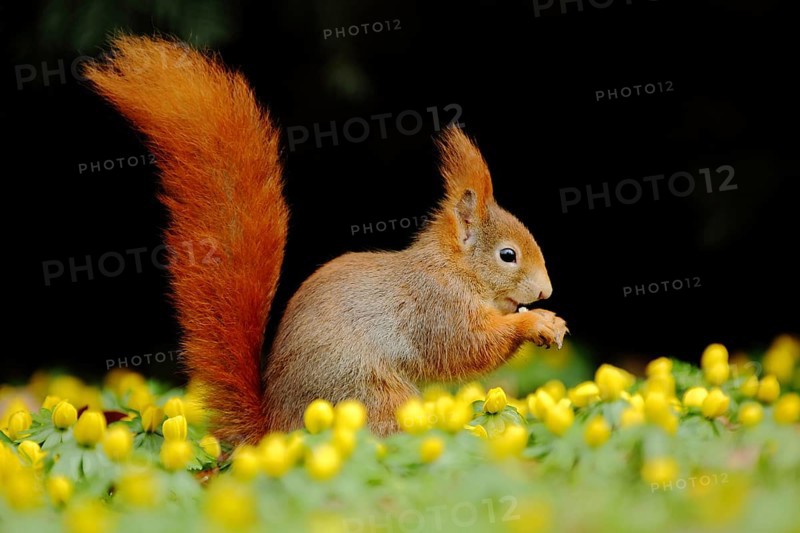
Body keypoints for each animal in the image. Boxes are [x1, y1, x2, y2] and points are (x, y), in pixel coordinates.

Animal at [84, 35, 568, 444]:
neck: (453, 268)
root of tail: (274, 431)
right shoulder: (435, 306)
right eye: (508, 255)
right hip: (367, 392)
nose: (545, 291)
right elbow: (466, 348)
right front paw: (535, 322)